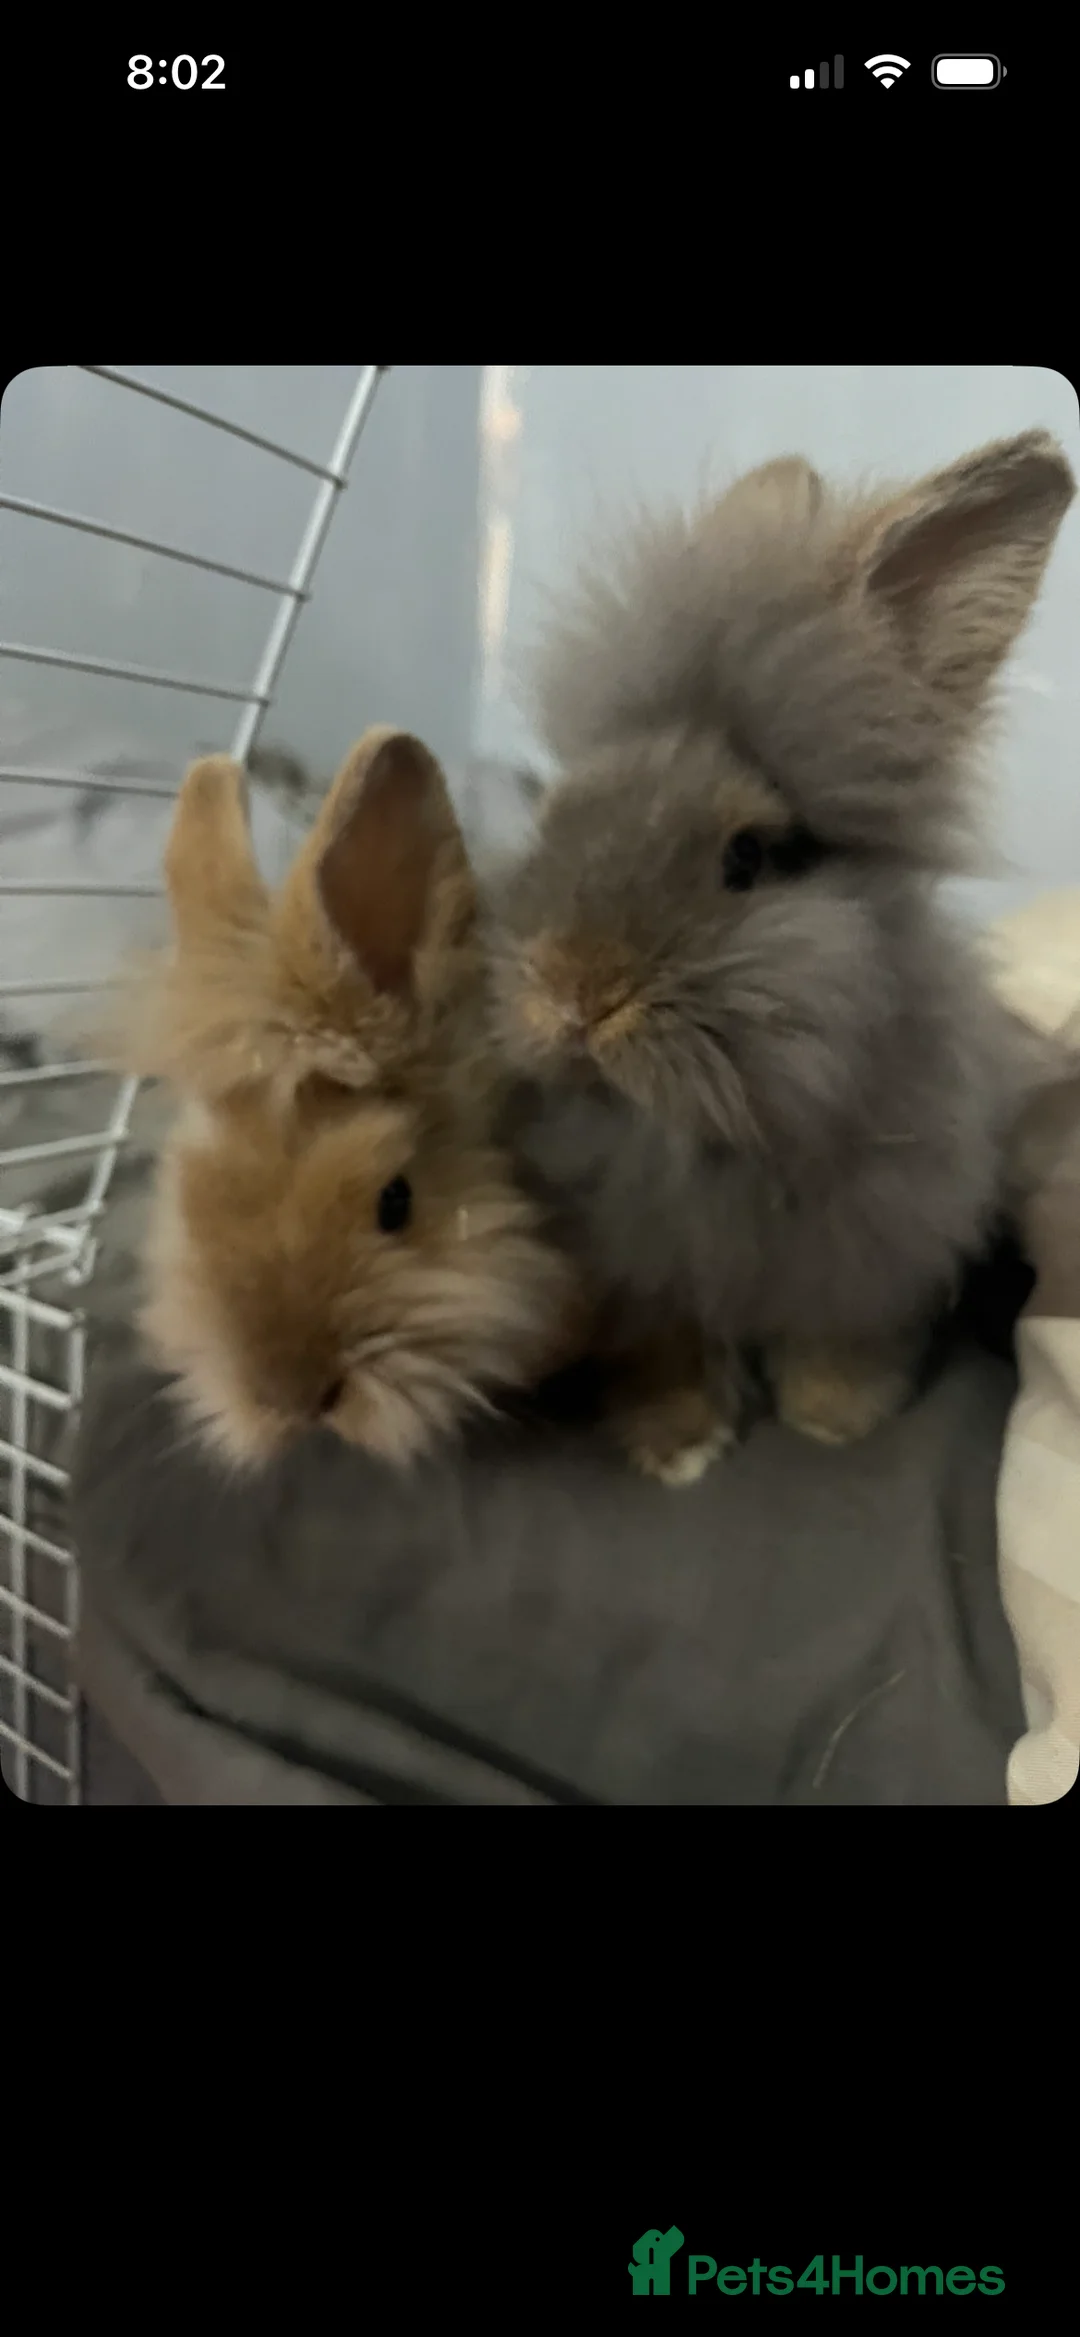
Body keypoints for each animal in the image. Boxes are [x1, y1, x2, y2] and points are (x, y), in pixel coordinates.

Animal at [487, 430, 1077, 1483]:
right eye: (560, 809)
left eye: (748, 859)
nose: (571, 995)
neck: (704, 1142)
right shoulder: (644, 1279)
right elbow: (668, 1355)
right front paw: (679, 1448)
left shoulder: (876, 1249)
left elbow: (842, 1341)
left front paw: (834, 1420)